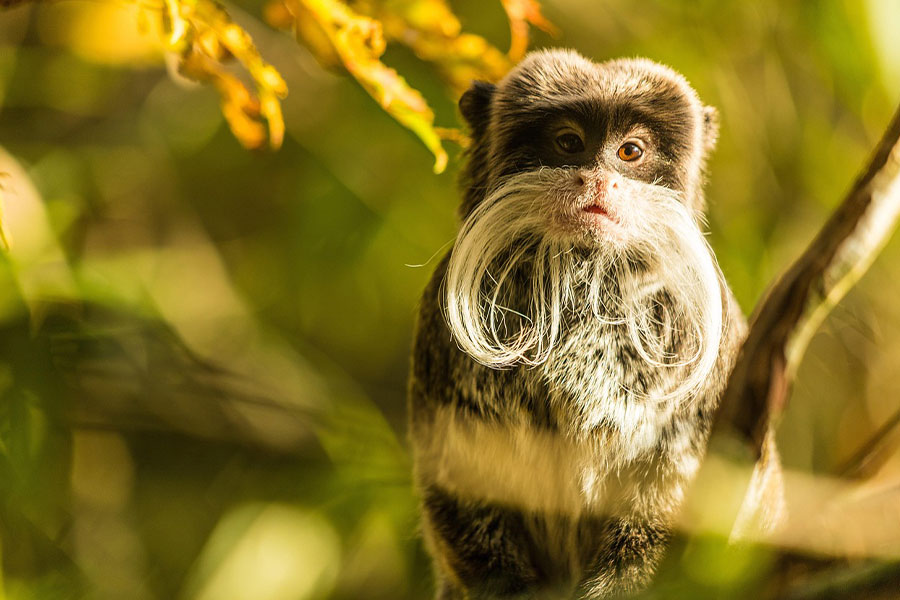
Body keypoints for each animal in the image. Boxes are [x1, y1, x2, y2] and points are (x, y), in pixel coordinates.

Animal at [408, 49, 754, 599]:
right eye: (569, 143)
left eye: (630, 151)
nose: (597, 180)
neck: (584, 282)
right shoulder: (437, 332)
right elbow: (459, 481)